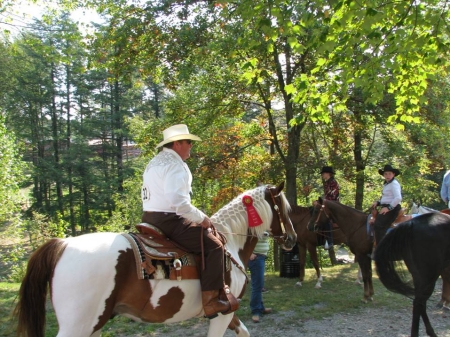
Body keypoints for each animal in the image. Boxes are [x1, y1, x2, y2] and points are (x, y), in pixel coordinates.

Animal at [13, 182, 296, 336]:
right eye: (284, 209)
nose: (292, 238)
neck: (230, 242)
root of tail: (62, 245)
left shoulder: (228, 312)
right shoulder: (222, 312)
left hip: (93, 324)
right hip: (78, 326)